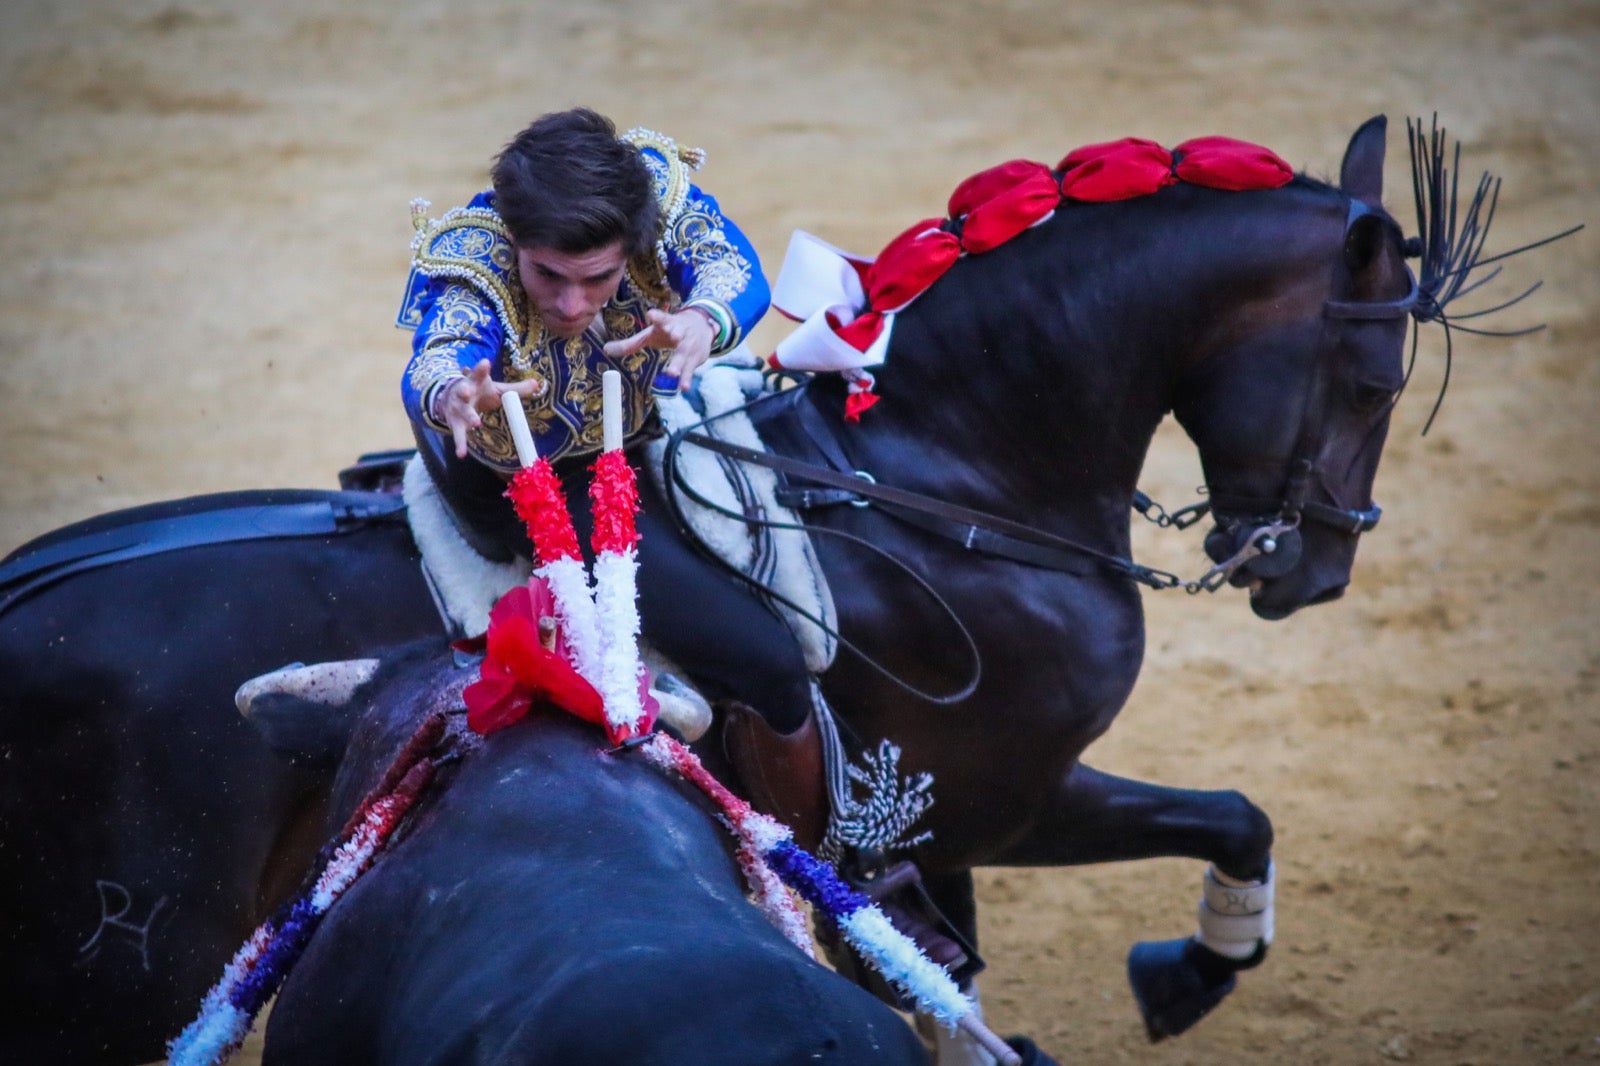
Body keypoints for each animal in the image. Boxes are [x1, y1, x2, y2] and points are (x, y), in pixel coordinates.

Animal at [0, 112, 1548, 1056]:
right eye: (1372, 380)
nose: (1320, 567)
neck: (941, 477)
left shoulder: (950, 829)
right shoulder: (1001, 796)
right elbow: (1232, 811)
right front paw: (1191, 971)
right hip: (123, 971)